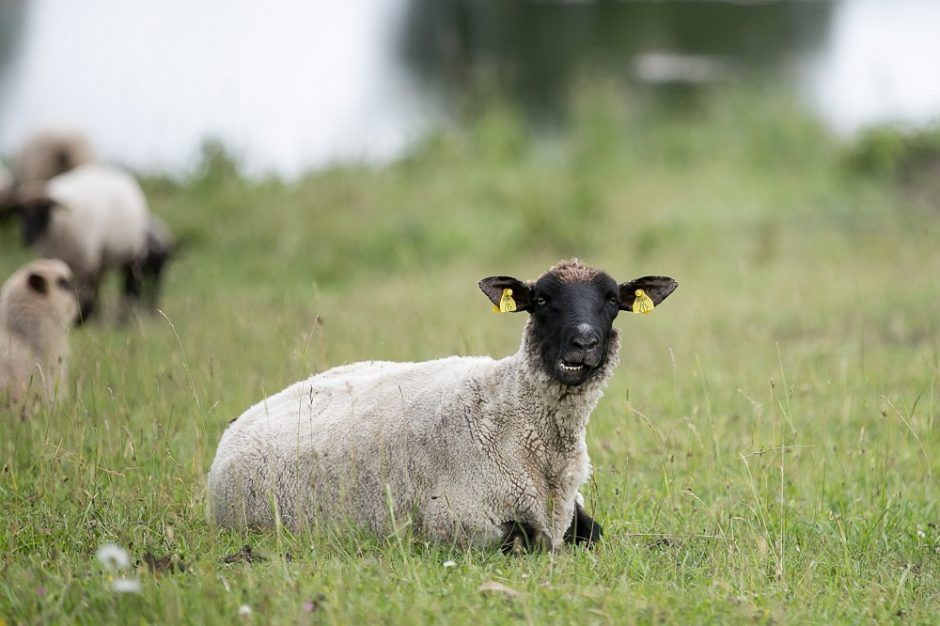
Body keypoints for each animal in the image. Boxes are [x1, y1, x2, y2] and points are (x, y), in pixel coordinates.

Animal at [207, 260, 676, 548]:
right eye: (541, 300)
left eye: (612, 300)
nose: (583, 343)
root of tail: (241, 421)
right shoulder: (455, 521)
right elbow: (524, 540)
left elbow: (594, 533)